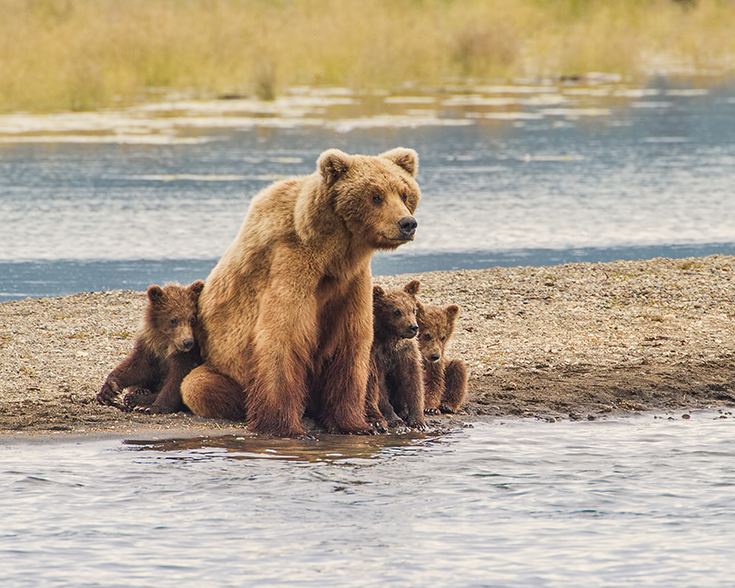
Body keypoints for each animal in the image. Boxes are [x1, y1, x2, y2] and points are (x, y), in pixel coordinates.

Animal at [183, 148, 420, 436]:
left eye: (404, 194)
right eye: (376, 196)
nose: (407, 223)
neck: (335, 252)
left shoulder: (351, 281)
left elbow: (352, 343)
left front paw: (356, 424)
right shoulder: (292, 265)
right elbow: (282, 338)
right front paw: (286, 427)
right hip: (222, 371)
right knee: (198, 386)